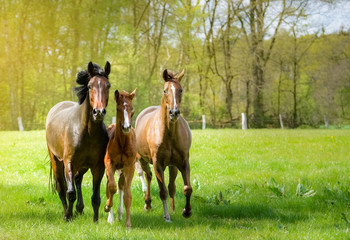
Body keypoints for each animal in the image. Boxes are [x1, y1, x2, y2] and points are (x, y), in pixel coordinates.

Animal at [45, 61, 110, 221]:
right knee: (61, 187)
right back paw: (68, 212)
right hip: (56, 161)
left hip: (82, 166)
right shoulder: (69, 162)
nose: (99, 112)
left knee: (78, 180)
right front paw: (68, 216)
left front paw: (95, 221)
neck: (87, 132)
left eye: (108, 85)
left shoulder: (98, 166)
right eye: (90, 86)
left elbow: (95, 197)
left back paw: (79, 209)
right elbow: (70, 193)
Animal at [102, 89, 137, 228]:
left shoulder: (130, 166)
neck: (122, 143)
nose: (126, 127)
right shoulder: (109, 164)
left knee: (121, 185)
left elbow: (127, 195)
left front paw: (128, 224)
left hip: (123, 169)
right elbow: (111, 188)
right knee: (109, 187)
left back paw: (120, 214)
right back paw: (110, 217)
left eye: (132, 109)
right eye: (118, 108)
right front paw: (107, 207)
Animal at [135, 69, 194, 221]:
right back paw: (148, 204)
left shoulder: (183, 162)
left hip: (173, 166)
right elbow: (163, 191)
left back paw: (172, 209)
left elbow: (187, 188)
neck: (169, 134)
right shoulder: (158, 164)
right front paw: (166, 216)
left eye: (181, 90)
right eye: (165, 90)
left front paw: (186, 211)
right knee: (148, 176)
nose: (174, 112)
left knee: (171, 186)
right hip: (142, 160)